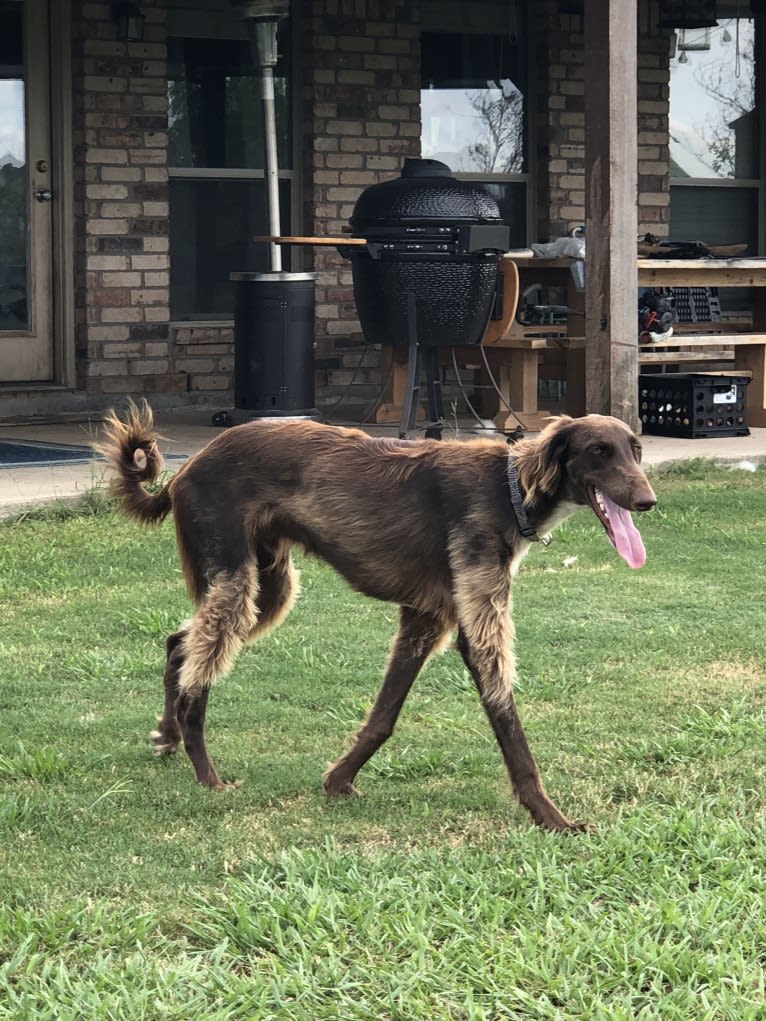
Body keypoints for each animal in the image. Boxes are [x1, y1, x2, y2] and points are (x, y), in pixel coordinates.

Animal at [99, 402, 657, 833]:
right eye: (598, 451)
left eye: (636, 449)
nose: (648, 500)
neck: (510, 489)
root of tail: (186, 469)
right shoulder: (477, 629)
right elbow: (512, 732)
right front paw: (551, 818)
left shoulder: (426, 619)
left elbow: (383, 717)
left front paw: (338, 781)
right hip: (238, 583)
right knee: (197, 676)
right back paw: (205, 772)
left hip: (268, 586)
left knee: (179, 643)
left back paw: (168, 735)